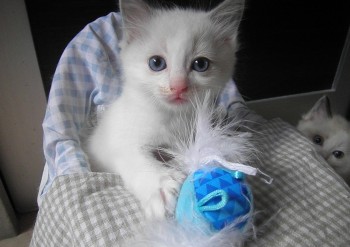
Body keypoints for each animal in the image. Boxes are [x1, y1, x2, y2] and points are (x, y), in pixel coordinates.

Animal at [87, 0, 245, 219]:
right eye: (156, 63)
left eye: (200, 64)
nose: (178, 86)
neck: (172, 117)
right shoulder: (122, 141)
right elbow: (138, 159)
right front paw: (160, 186)